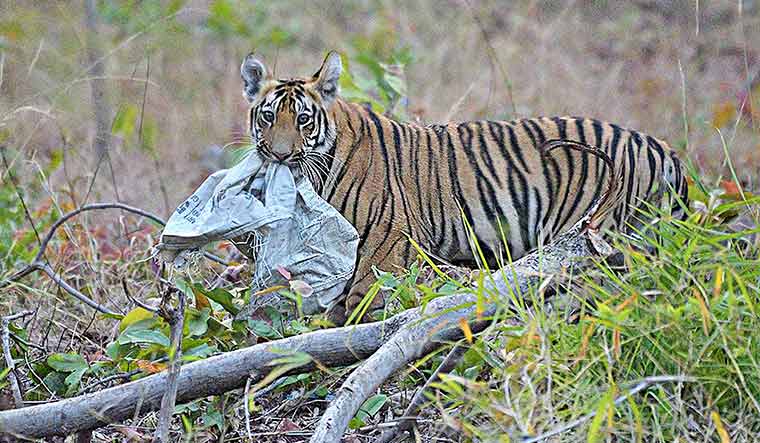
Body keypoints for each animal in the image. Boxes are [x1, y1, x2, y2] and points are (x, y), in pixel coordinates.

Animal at [238, 50, 689, 321]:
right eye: (267, 117)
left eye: (303, 120)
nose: (278, 154)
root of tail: (660, 146)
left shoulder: (387, 243)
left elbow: (370, 300)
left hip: (596, 234)